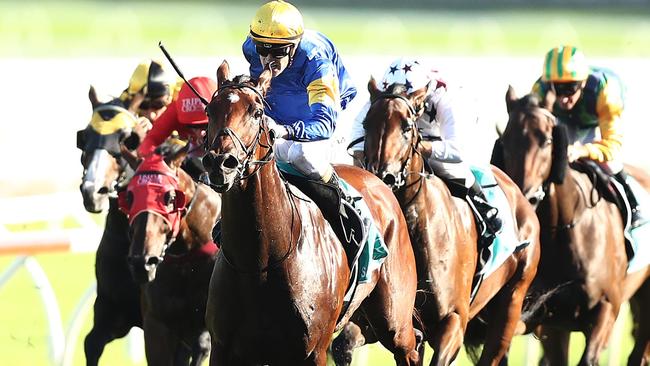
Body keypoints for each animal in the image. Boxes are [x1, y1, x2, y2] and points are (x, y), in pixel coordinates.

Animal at [199, 61, 420, 364]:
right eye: (210, 110)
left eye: (257, 112)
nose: (221, 162)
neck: (260, 261)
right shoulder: (224, 348)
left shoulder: (313, 350)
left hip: (394, 320)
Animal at [332, 80, 540, 366]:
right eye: (366, 124)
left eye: (407, 126)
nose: (383, 176)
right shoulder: (382, 320)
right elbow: (344, 345)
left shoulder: (454, 320)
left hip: (512, 301)